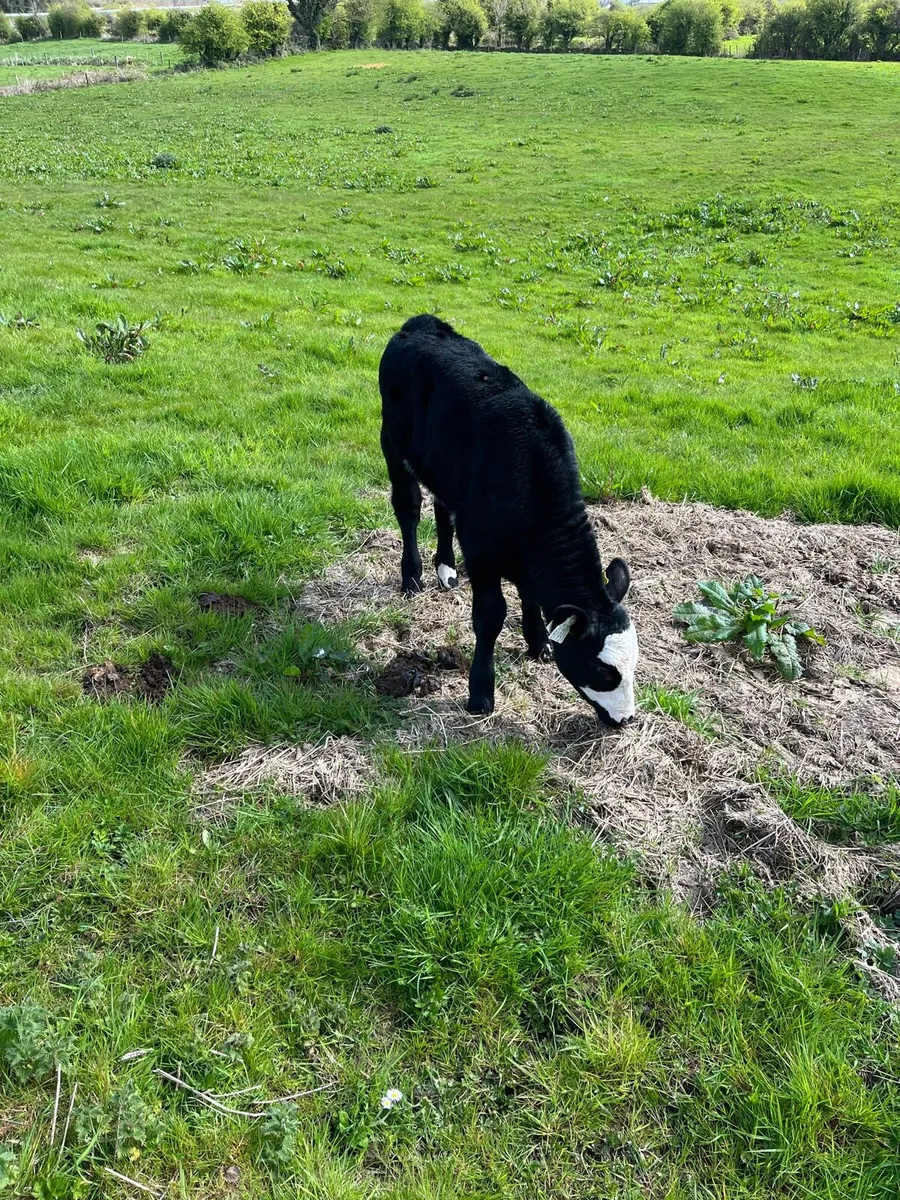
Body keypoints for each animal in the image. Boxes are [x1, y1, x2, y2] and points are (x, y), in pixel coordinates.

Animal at [378, 314, 638, 728]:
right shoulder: (481, 552)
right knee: (409, 508)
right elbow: (491, 616)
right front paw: (481, 693)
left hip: (445, 468)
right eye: (603, 670)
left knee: (441, 507)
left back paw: (446, 569)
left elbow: (529, 596)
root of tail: (423, 323)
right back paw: (412, 576)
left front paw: (538, 642)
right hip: (393, 443)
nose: (627, 719)